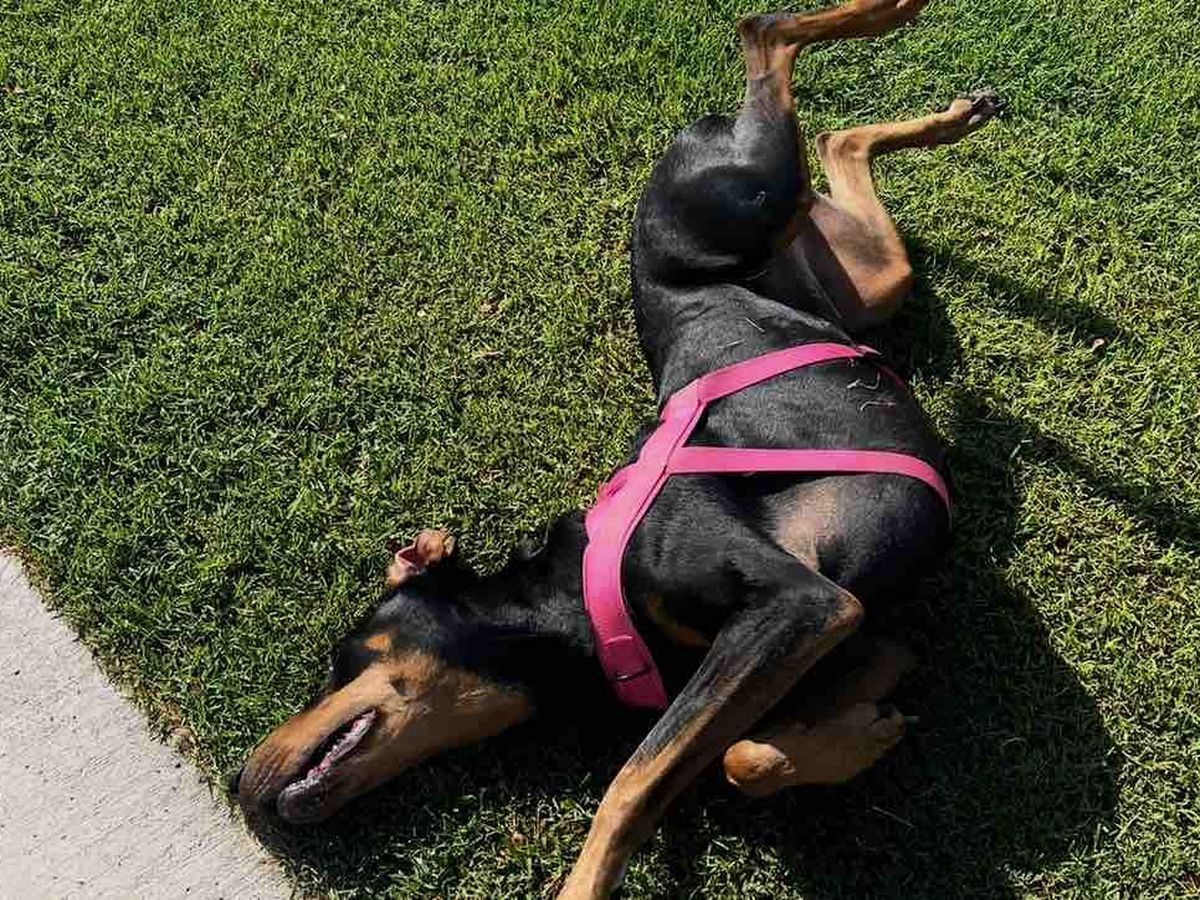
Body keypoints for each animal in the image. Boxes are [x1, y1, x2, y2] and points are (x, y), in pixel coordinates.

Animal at [234, 2, 999, 896]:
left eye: (337, 658)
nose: (238, 778)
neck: (562, 604)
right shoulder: (862, 637)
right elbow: (742, 756)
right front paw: (856, 739)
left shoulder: (800, 604)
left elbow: (636, 781)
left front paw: (584, 883)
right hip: (863, 279)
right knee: (839, 140)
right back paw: (953, 115)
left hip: (747, 190)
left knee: (765, 35)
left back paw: (890, 16)